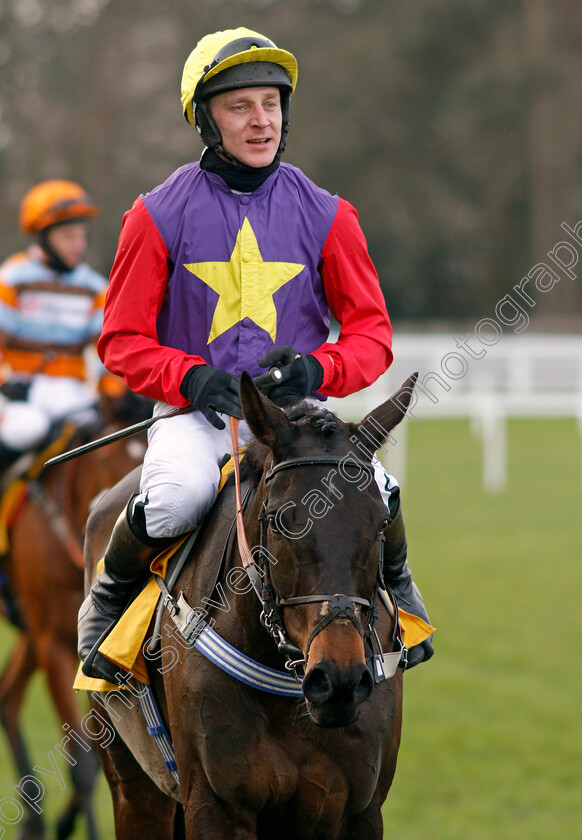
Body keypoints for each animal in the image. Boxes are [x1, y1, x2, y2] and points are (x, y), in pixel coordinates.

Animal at [84, 376, 418, 840]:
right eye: (279, 520)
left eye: (382, 523)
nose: (340, 680)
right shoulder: (216, 803)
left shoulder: (358, 809)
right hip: (131, 780)